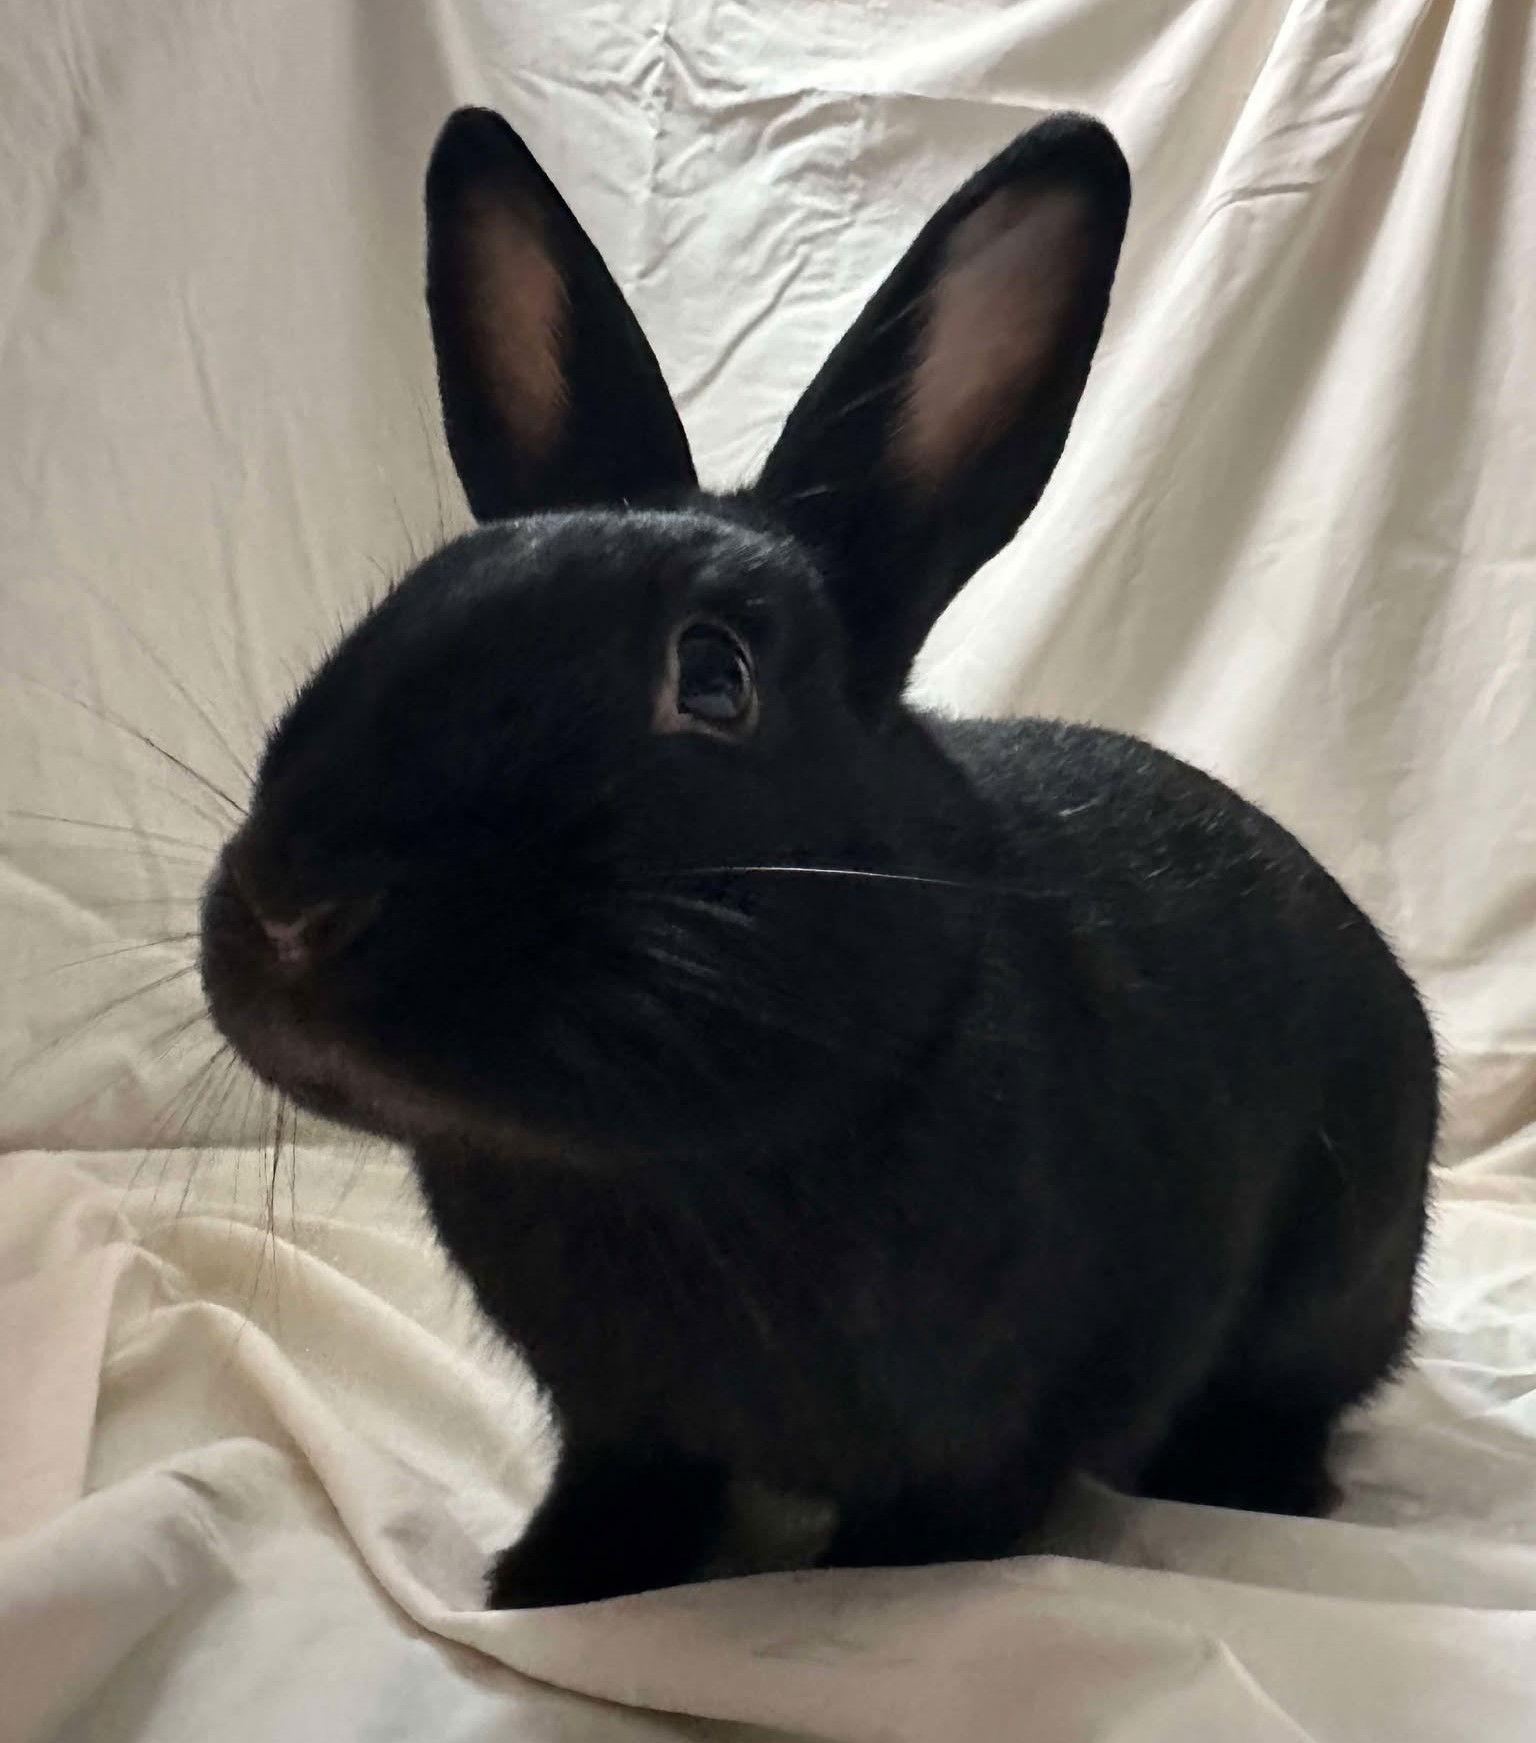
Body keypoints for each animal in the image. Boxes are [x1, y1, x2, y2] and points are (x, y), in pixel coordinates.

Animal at [200, 107, 1438, 1609]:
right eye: (401, 602)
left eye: (714, 677)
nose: (289, 907)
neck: (650, 1167)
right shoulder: (617, 1417)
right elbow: (629, 1481)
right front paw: (551, 1582)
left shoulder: (989, 1432)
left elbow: (932, 1528)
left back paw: (1251, 1477)